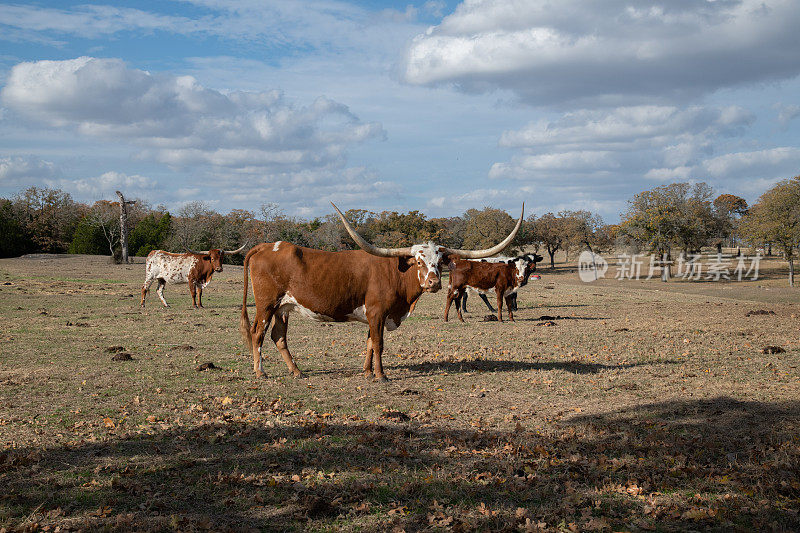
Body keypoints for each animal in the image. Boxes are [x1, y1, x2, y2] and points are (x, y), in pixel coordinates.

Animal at [238, 202, 524, 380]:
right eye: (418, 261)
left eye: (441, 261)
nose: (433, 283)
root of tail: (266, 246)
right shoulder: (377, 312)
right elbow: (378, 343)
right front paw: (380, 374)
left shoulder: (373, 315)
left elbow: (368, 343)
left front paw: (366, 372)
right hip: (266, 304)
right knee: (257, 333)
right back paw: (260, 372)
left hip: (283, 307)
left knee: (278, 336)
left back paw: (297, 371)